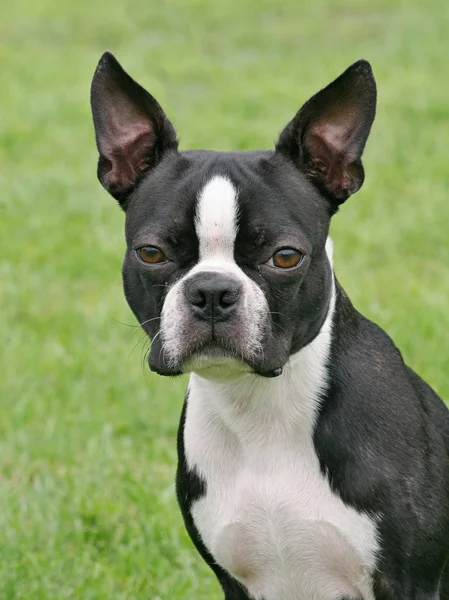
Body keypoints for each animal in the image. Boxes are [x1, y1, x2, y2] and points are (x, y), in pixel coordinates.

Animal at [89, 54, 448, 596]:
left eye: (285, 257)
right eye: (150, 253)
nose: (212, 291)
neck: (259, 408)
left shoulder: (411, 581)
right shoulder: (235, 580)